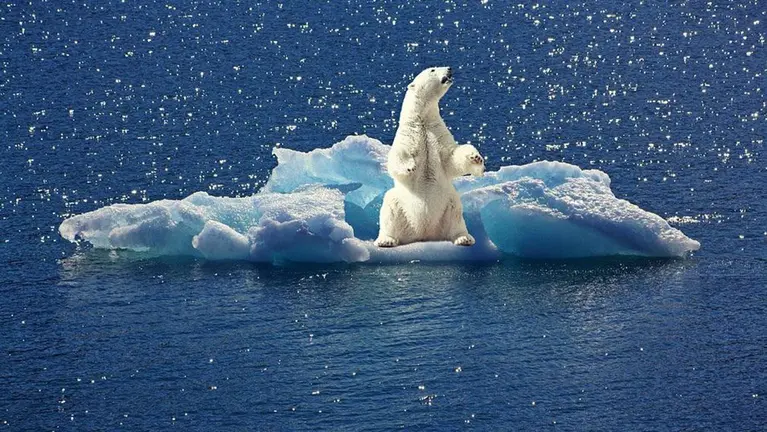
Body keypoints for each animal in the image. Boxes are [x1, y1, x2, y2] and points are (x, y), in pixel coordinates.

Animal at [374, 66, 485, 248]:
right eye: (432, 69)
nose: (449, 68)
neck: (422, 120)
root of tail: (423, 233)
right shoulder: (408, 135)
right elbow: (397, 156)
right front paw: (410, 166)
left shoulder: (437, 133)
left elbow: (451, 158)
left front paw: (476, 158)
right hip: (400, 205)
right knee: (389, 208)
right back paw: (386, 240)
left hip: (448, 203)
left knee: (456, 214)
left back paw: (464, 238)